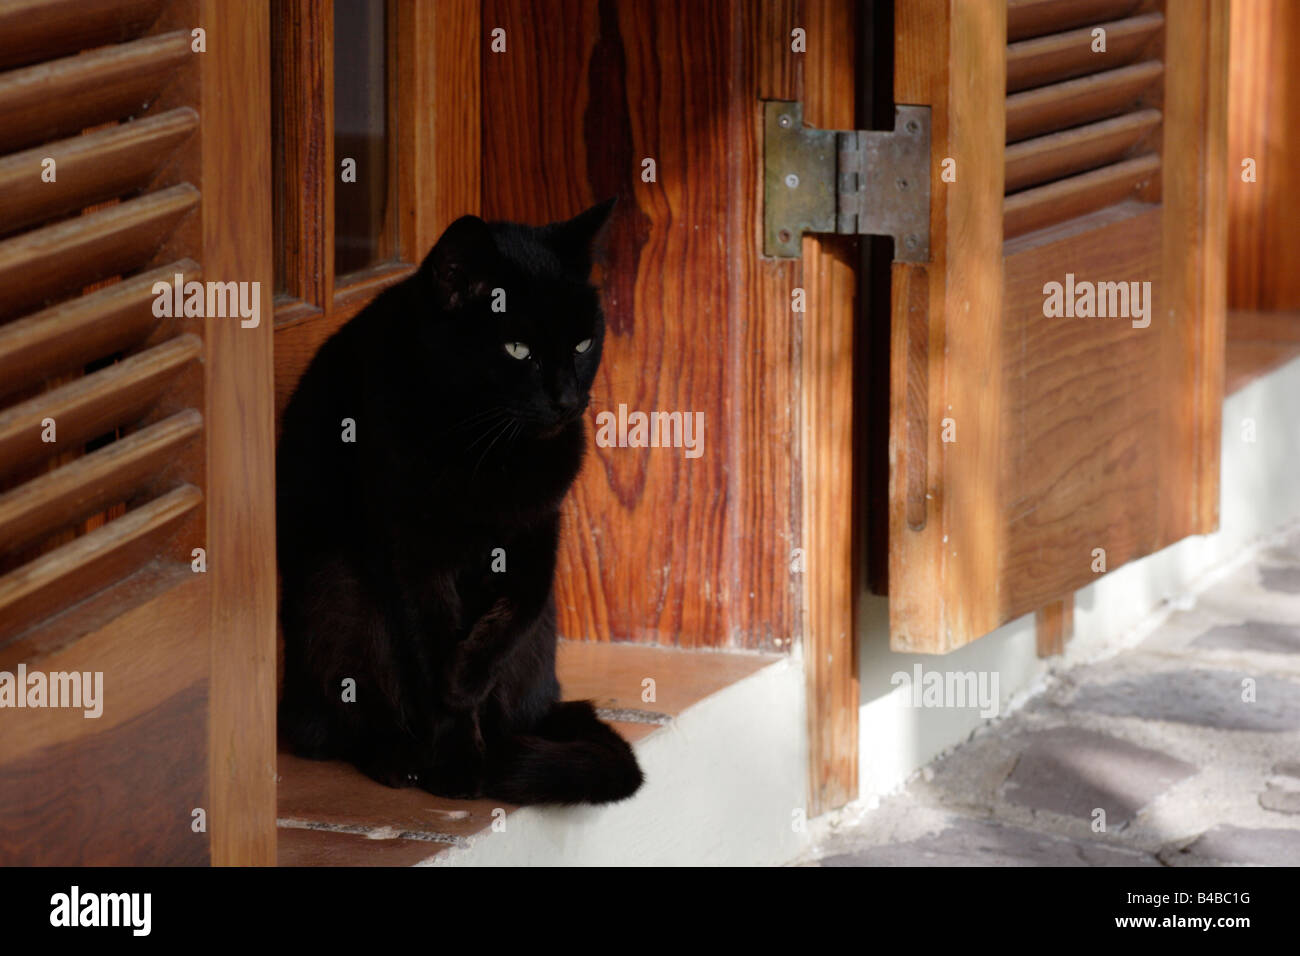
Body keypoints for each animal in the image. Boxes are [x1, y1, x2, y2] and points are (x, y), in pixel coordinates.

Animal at [276, 201, 642, 806]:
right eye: (518, 349)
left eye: (583, 345)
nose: (567, 399)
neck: (486, 447)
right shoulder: (410, 549)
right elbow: (430, 649)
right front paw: (456, 763)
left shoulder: (536, 531)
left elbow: (512, 614)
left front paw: (463, 685)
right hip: (337, 586)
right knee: (334, 726)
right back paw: (401, 758)